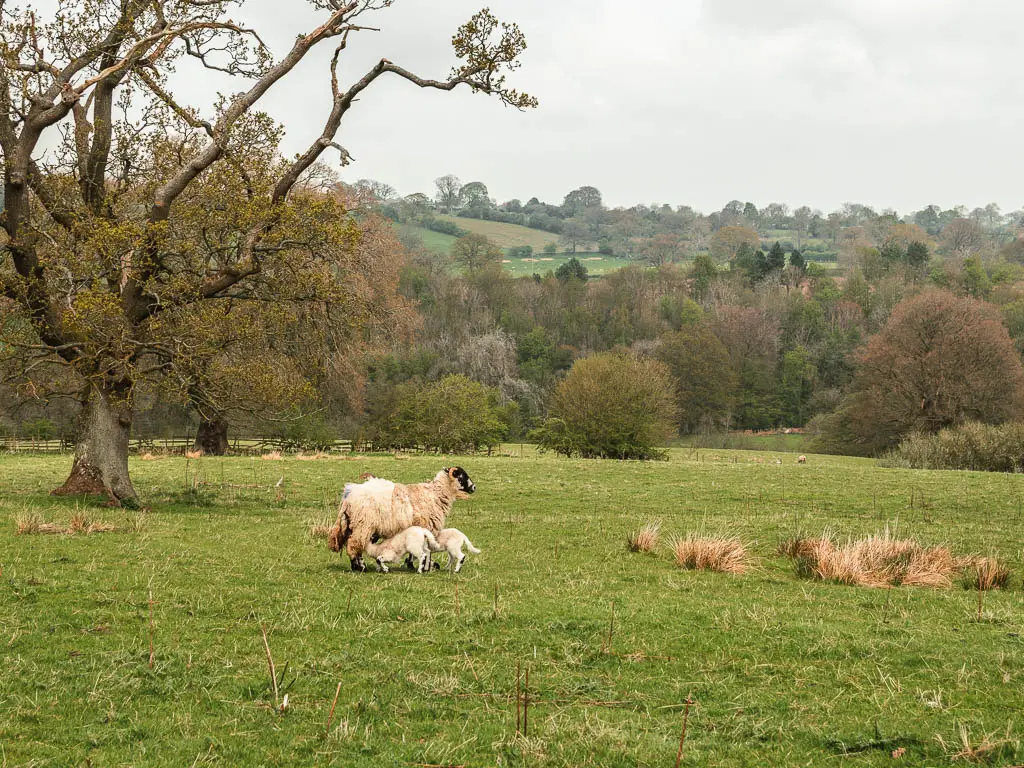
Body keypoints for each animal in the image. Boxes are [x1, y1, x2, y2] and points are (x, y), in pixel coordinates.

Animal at [325, 466, 477, 573]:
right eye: (462, 475)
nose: (474, 487)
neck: (436, 494)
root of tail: (349, 496)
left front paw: (413, 564)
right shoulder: (425, 526)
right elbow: (425, 548)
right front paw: (425, 566)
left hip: (353, 524)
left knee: (350, 543)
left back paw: (355, 566)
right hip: (364, 524)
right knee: (354, 544)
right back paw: (361, 567)